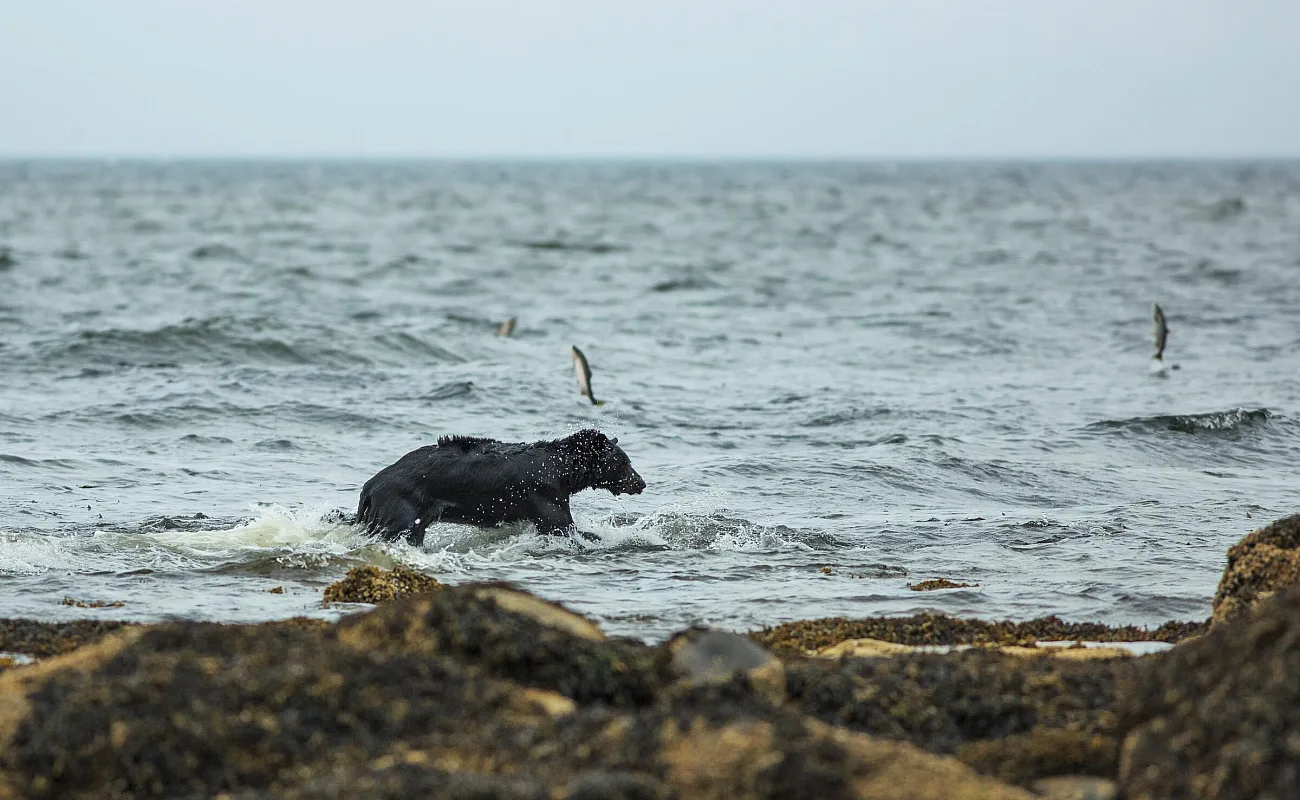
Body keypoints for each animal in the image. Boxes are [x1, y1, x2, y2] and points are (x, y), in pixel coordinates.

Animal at [356, 428, 646, 545]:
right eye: (624, 462)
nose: (641, 483)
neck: (564, 470)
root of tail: (370, 486)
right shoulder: (546, 493)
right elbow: (561, 527)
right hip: (401, 503)